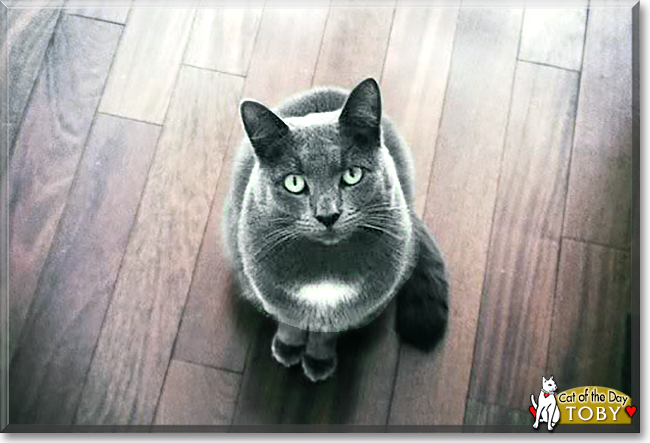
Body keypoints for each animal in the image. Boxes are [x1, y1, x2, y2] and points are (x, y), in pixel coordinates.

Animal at [223, 79, 446, 382]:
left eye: (352, 175)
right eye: (294, 182)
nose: (328, 215)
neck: (325, 266)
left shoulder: (358, 306)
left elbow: (327, 334)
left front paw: (319, 360)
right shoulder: (273, 292)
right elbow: (290, 322)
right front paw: (287, 347)